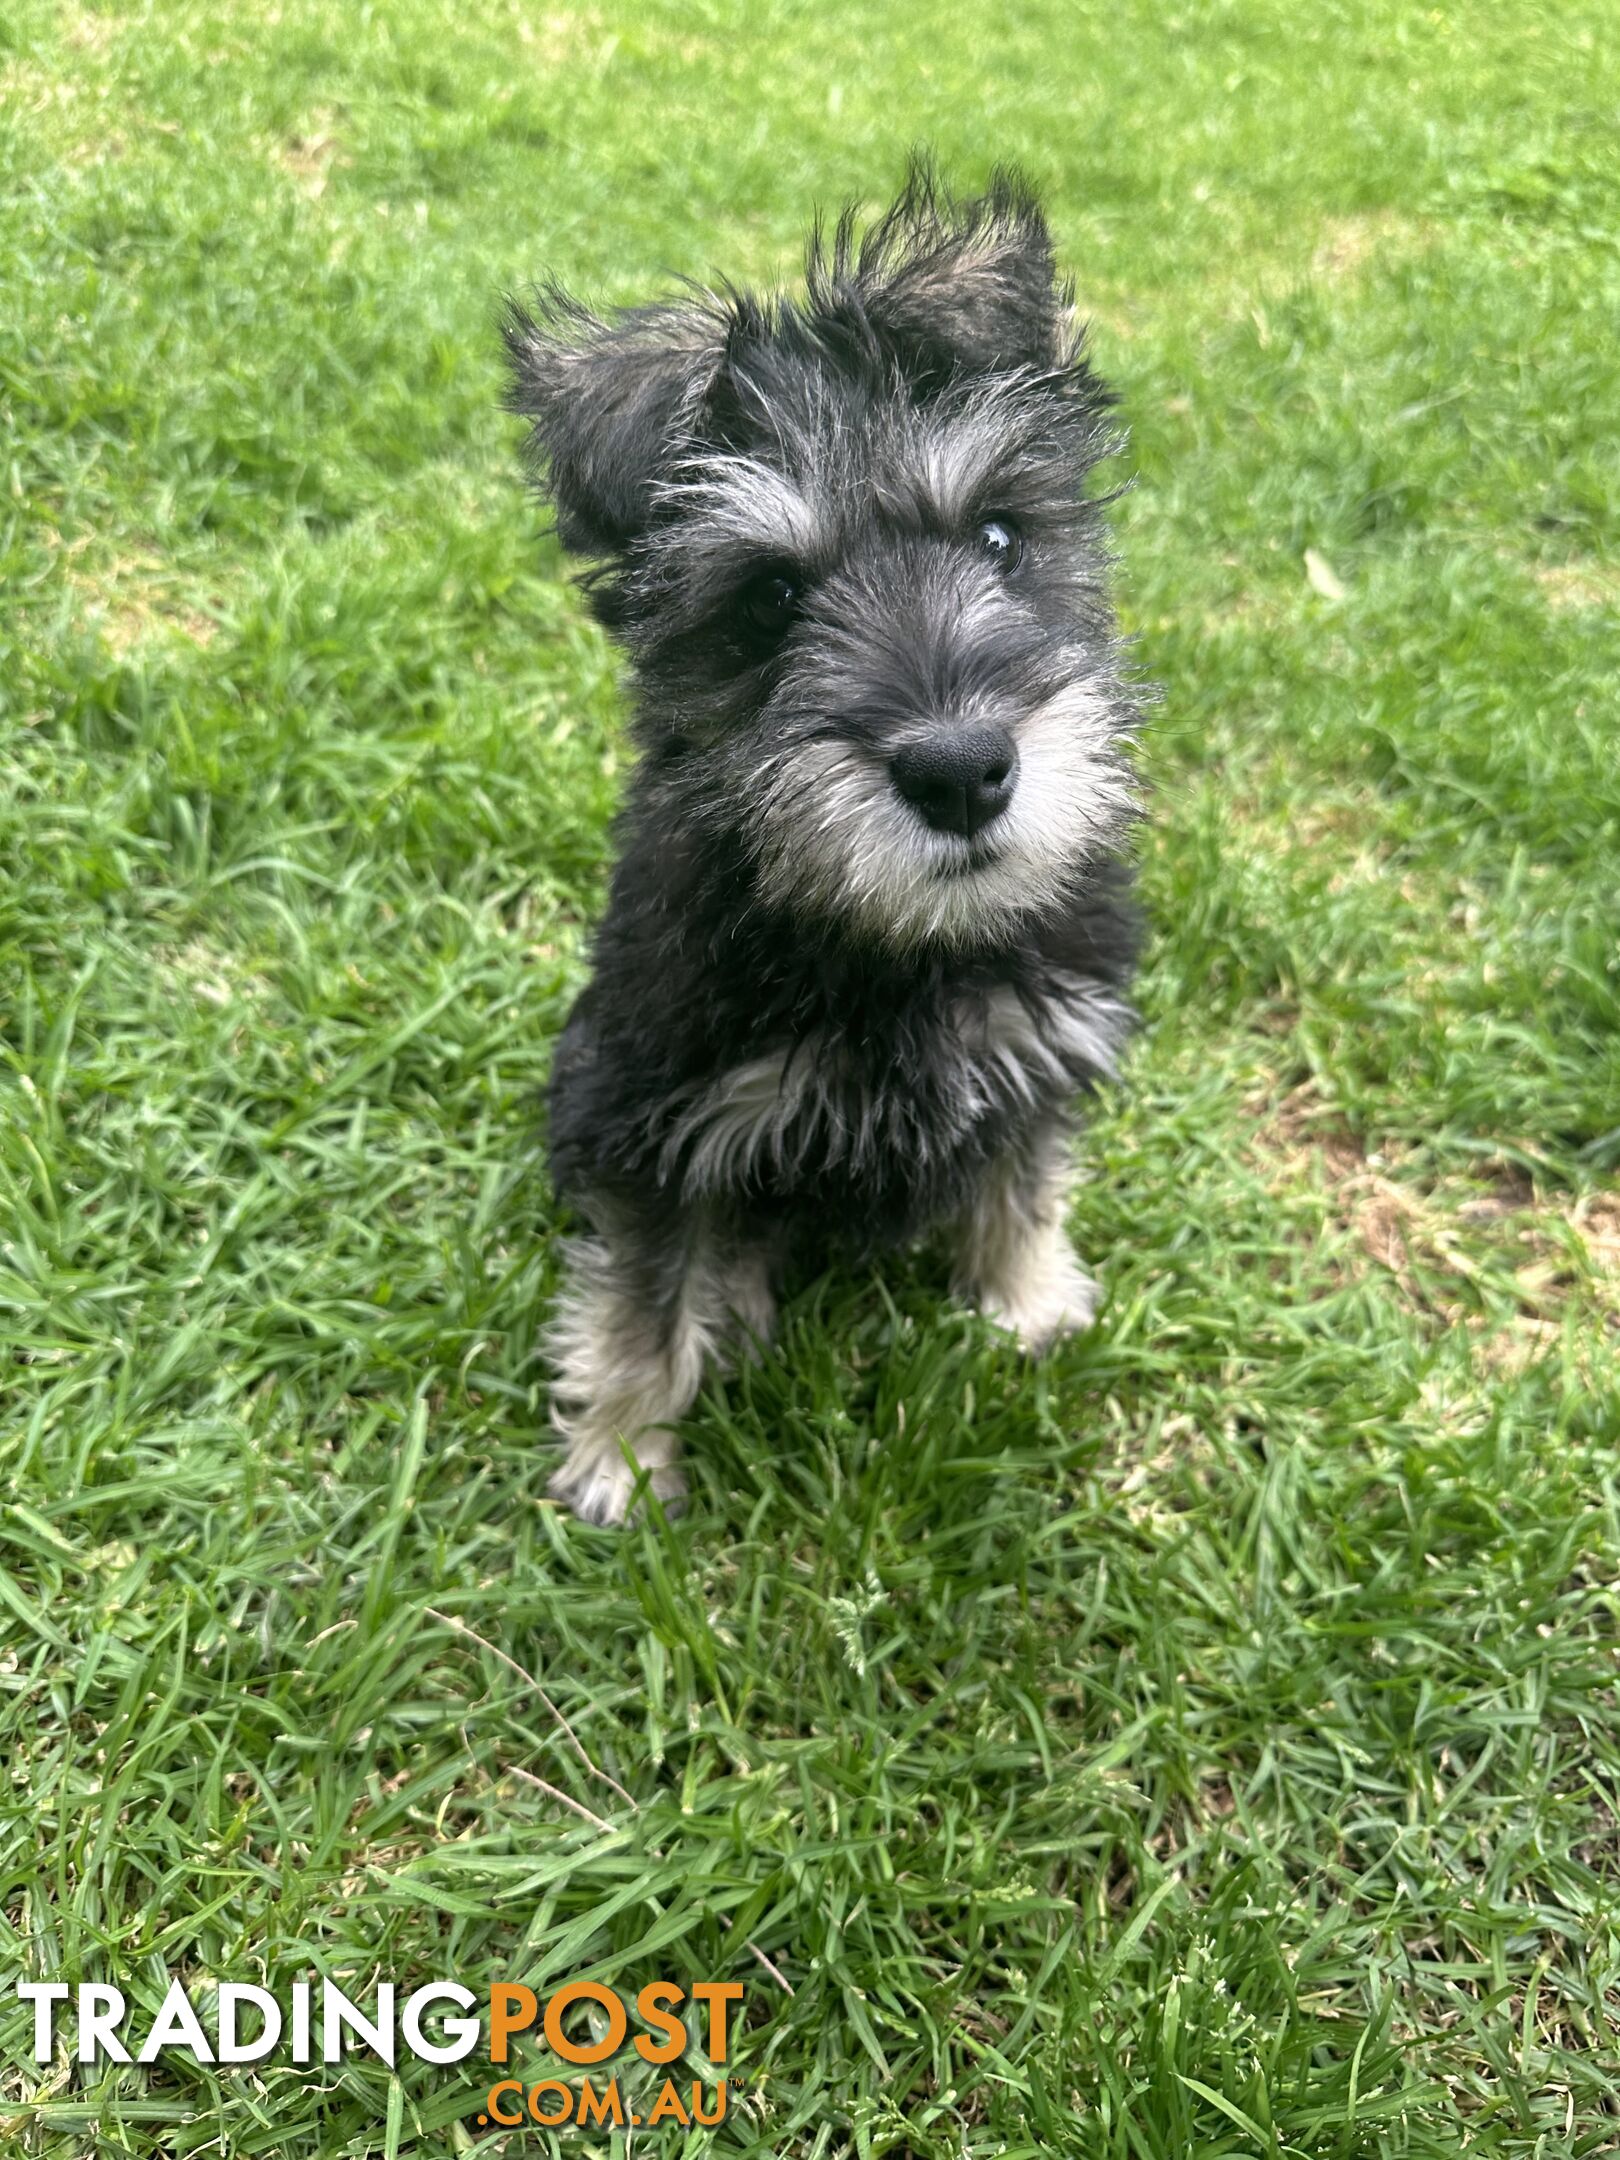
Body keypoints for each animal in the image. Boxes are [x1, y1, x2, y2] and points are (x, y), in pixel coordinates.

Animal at [501, 164, 1149, 1520]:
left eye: (1000, 537)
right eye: (767, 603)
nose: (961, 771)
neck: (895, 949)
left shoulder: (1039, 1047)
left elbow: (1021, 1180)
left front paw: (1026, 1305)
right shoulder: (650, 1117)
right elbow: (639, 1295)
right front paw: (623, 1457)